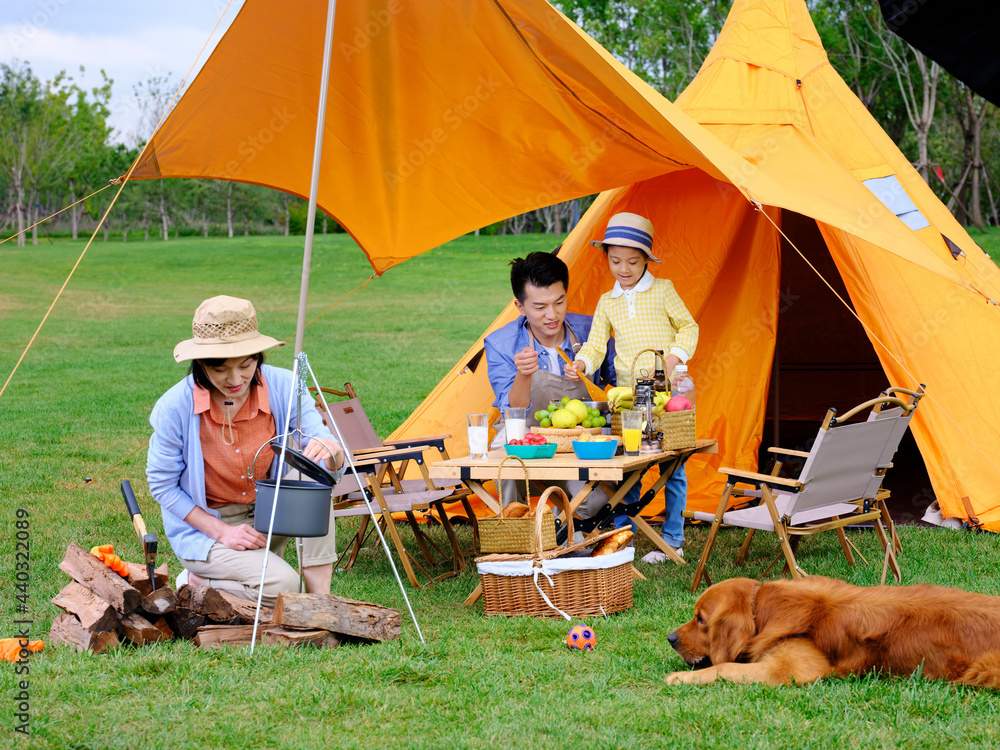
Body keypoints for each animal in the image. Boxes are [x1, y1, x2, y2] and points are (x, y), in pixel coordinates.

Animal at [664, 580, 1000, 692]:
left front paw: (679, 678)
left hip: (985, 670)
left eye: (701, 619)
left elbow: (723, 666)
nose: (670, 638)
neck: (762, 610)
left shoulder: (786, 670)